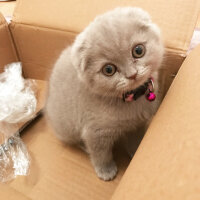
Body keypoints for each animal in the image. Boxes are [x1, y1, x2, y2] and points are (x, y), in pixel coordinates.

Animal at [45, 7, 164, 180]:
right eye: (108, 70)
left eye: (138, 50)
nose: (132, 74)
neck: (131, 99)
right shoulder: (95, 132)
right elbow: (100, 153)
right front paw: (106, 170)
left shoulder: (137, 124)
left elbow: (135, 139)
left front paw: (136, 152)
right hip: (66, 128)